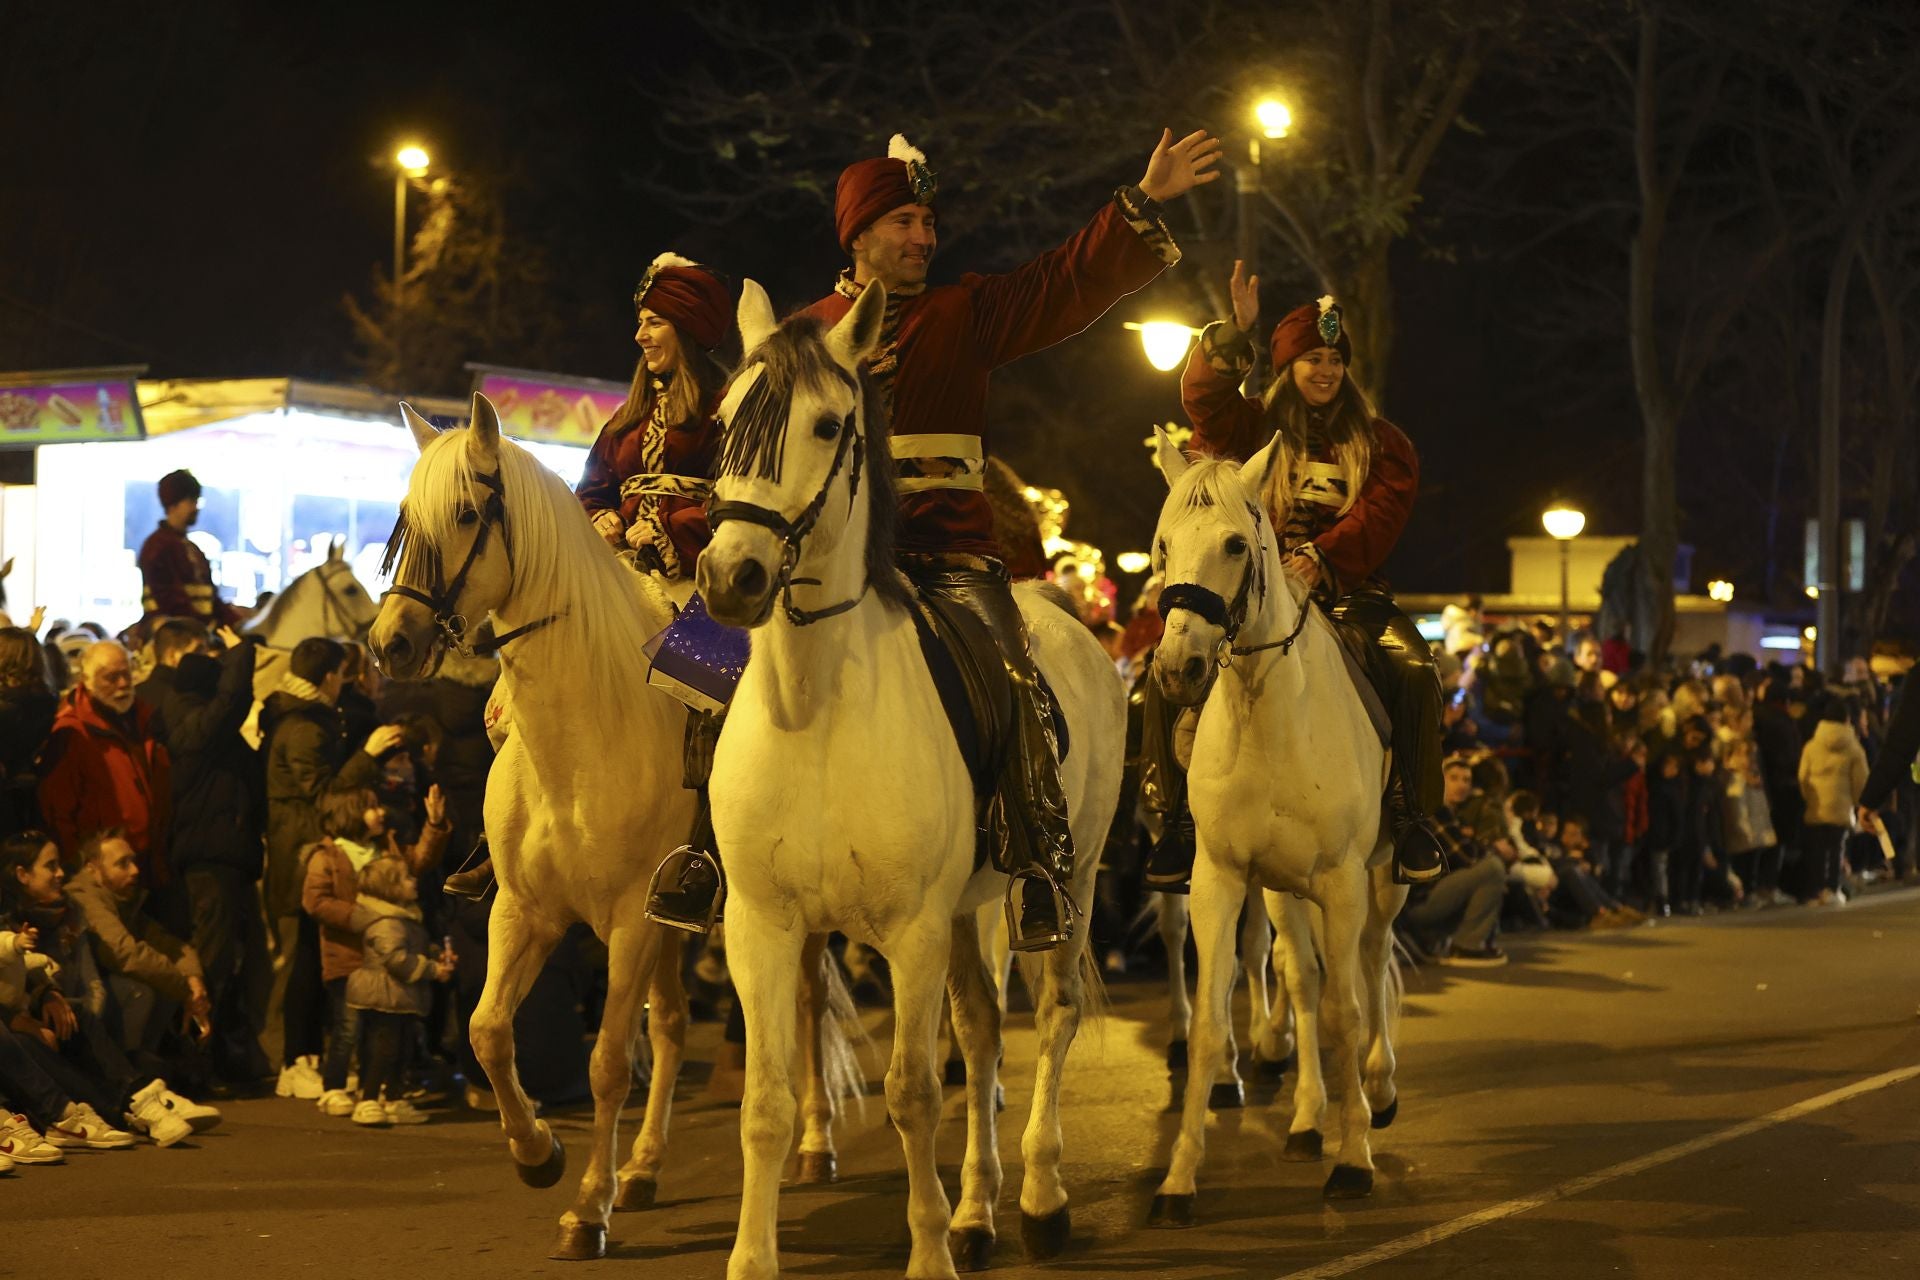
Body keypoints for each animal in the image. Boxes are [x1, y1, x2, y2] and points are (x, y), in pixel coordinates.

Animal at [368, 397, 864, 1258]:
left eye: (465, 513)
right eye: (403, 515)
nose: (390, 643)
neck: (581, 736)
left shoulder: (630, 919)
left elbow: (605, 1062)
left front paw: (585, 1208)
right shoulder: (524, 912)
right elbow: (489, 1031)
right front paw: (539, 1154)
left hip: (783, 917)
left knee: (804, 1008)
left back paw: (813, 1145)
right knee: (671, 1024)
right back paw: (645, 1168)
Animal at [698, 282, 1121, 1280]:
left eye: (825, 424)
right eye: (725, 420)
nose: (732, 576)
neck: (814, 711)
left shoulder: (912, 929)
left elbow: (914, 1092)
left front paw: (930, 1253)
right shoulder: (762, 928)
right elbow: (767, 1102)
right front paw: (754, 1256)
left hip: (1070, 882)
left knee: (1050, 1018)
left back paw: (1039, 1199)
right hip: (972, 907)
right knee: (982, 1027)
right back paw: (977, 1210)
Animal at [1136, 429, 1413, 1220]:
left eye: (1235, 543)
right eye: (1162, 544)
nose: (1178, 666)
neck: (1268, 714)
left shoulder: (1343, 882)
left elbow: (1346, 1012)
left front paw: (1354, 1161)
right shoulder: (1221, 879)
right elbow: (1211, 1022)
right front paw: (1179, 1178)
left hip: (1385, 879)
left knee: (1373, 959)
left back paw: (1378, 1090)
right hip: (1286, 889)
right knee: (1302, 974)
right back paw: (1308, 1118)